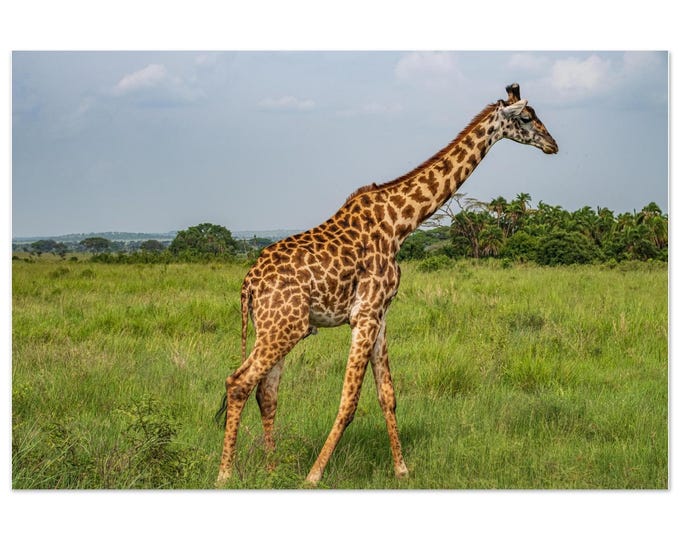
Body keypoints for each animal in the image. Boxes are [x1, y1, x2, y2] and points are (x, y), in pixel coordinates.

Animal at [216, 83, 558, 486]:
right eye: (526, 117)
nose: (553, 144)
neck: (401, 223)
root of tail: (248, 284)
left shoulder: (380, 316)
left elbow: (387, 396)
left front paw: (402, 469)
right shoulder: (364, 314)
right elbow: (349, 402)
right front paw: (314, 475)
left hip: (275, 328)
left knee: (266, 392)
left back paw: (271, 469)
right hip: (285, 328)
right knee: (238, 382)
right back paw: (225, 474)